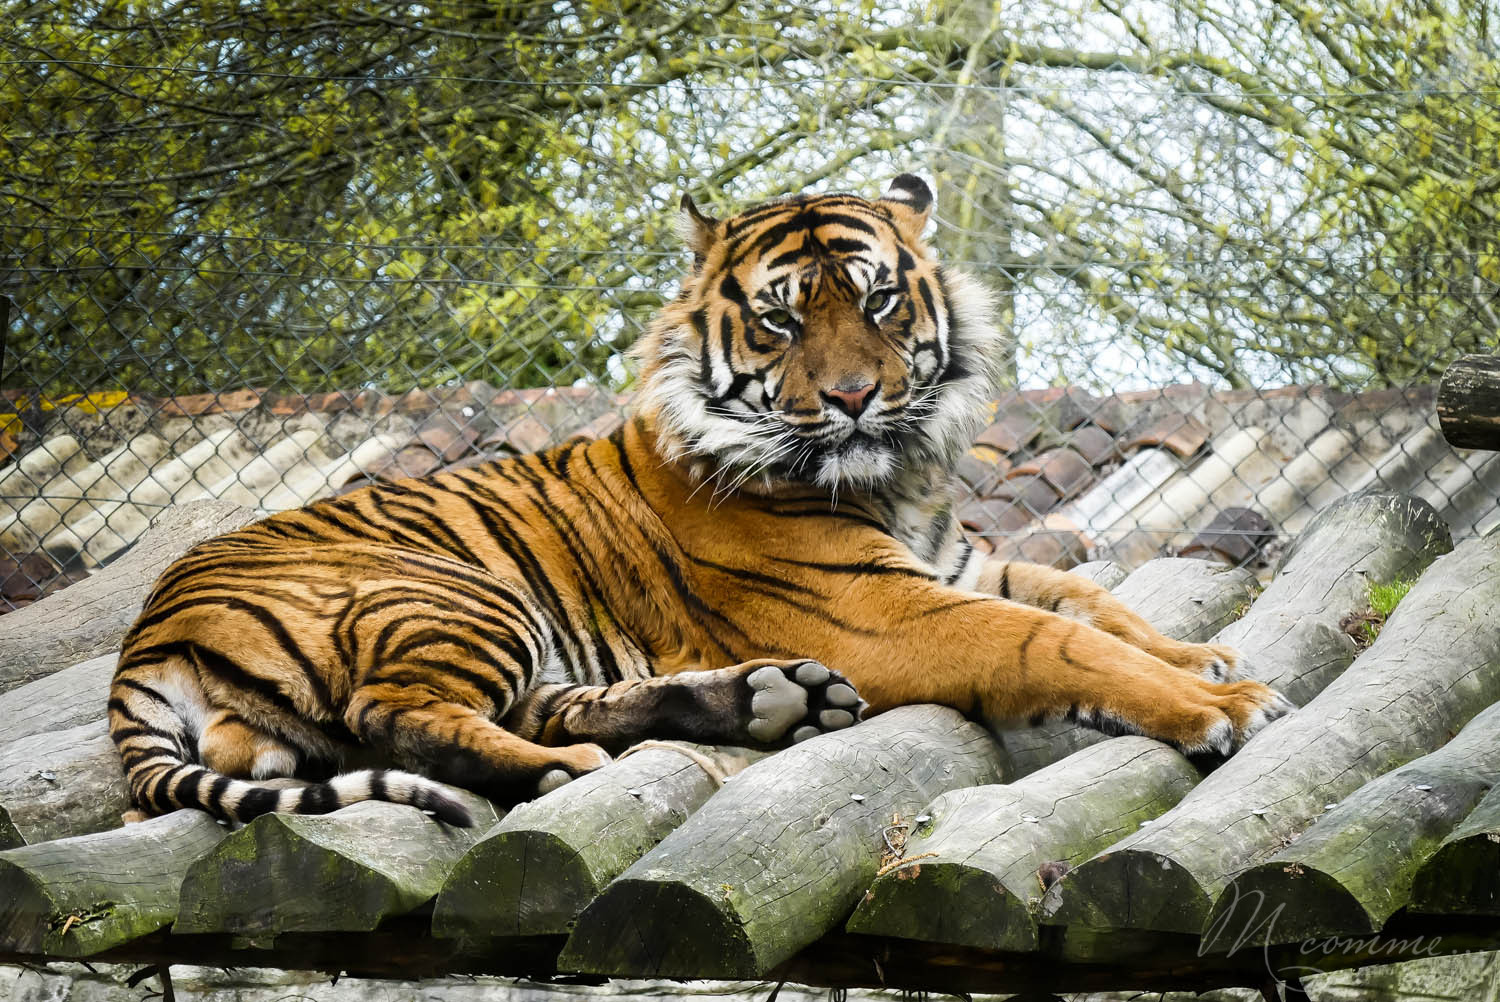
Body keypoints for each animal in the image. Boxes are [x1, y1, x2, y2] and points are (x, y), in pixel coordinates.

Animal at [110, 175, 1293, 827]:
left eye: (876, 300)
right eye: (779, 321)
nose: (856, 397)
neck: (894, 482)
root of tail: (149, 630)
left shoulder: (959, 562)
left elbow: (1091, 601)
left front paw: (1205, 661)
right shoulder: (888, 608)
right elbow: (1053, 642)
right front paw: (1223, 705)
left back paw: (765, 701)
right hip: (454, 597)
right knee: (391, 715)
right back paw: (564, 768)